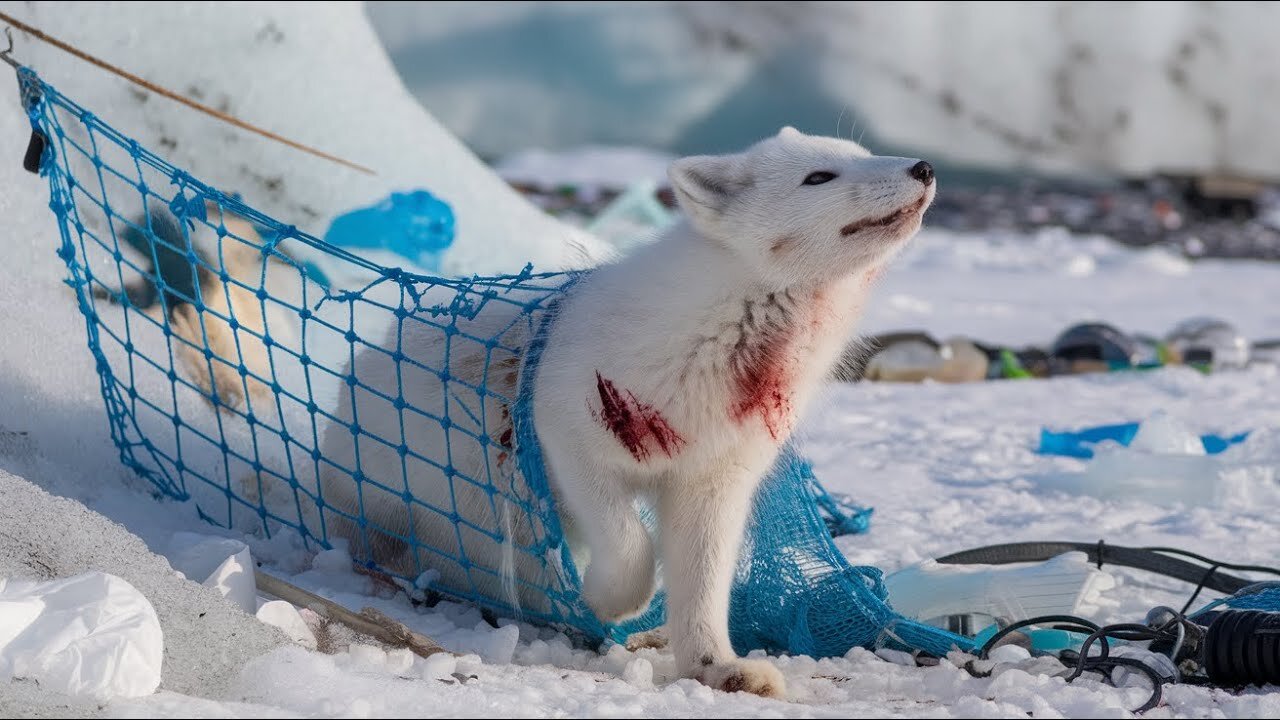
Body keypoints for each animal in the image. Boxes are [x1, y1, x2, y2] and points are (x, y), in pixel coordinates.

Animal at [318, 127, 936, 696]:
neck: (729, 335)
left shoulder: (713, 485)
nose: (924, 167)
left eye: (861, 154)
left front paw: (713, 666)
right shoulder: (571, 446)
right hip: (485, 520)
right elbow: (632, 545)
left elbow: (704, 587)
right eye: (819, 177)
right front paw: (607, 601)